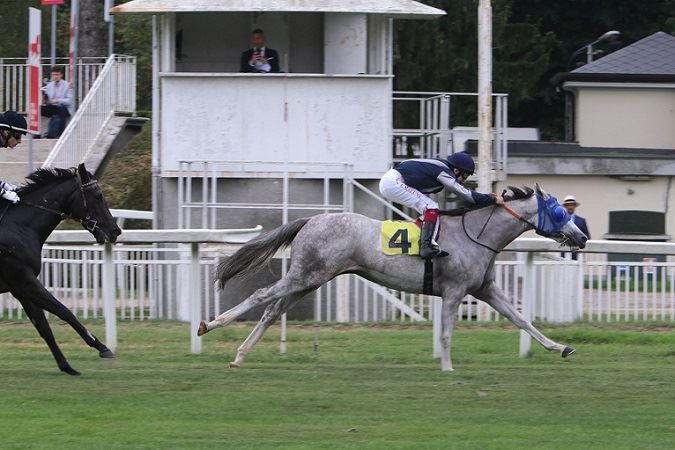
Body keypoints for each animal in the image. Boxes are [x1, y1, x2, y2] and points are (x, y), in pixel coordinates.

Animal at [0, 163, 120, 374]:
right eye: (98, 195)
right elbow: (64, 311)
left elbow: (44, 327)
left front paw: (66, 366)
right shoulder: (24, 281)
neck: (18, 227)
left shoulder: (21, 288)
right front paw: (101, 346)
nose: (116, 231)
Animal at [198, 185, 588, 370]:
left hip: (312, 277)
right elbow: (447, 332)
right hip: (304, 274)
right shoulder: (454, 290)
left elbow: (522, 320)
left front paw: (561, 347)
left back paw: (240, 355)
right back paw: (210, 324)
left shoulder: (485, 290)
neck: (477, 233)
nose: (582, 237)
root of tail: (311, 219)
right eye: (558, 212)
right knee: (260, 296)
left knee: (271, 311)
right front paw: (447, 367)